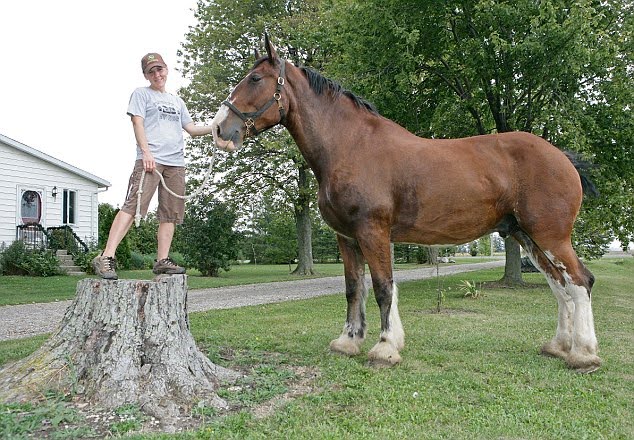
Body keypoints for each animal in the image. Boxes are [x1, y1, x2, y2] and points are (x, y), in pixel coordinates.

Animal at [210, 34, 600, 372]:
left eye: (255, 78)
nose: (219, 129)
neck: (350, 146)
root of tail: (563, 158)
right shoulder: (346, 238)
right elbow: (354, 289)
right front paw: (348, 341)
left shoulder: (373, 231)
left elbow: (383, 288)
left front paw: (384, 348)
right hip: (527, 237)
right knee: (560, 286)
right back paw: (558, 346)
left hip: (550, 236)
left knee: (580, 282)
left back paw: (583, 355)